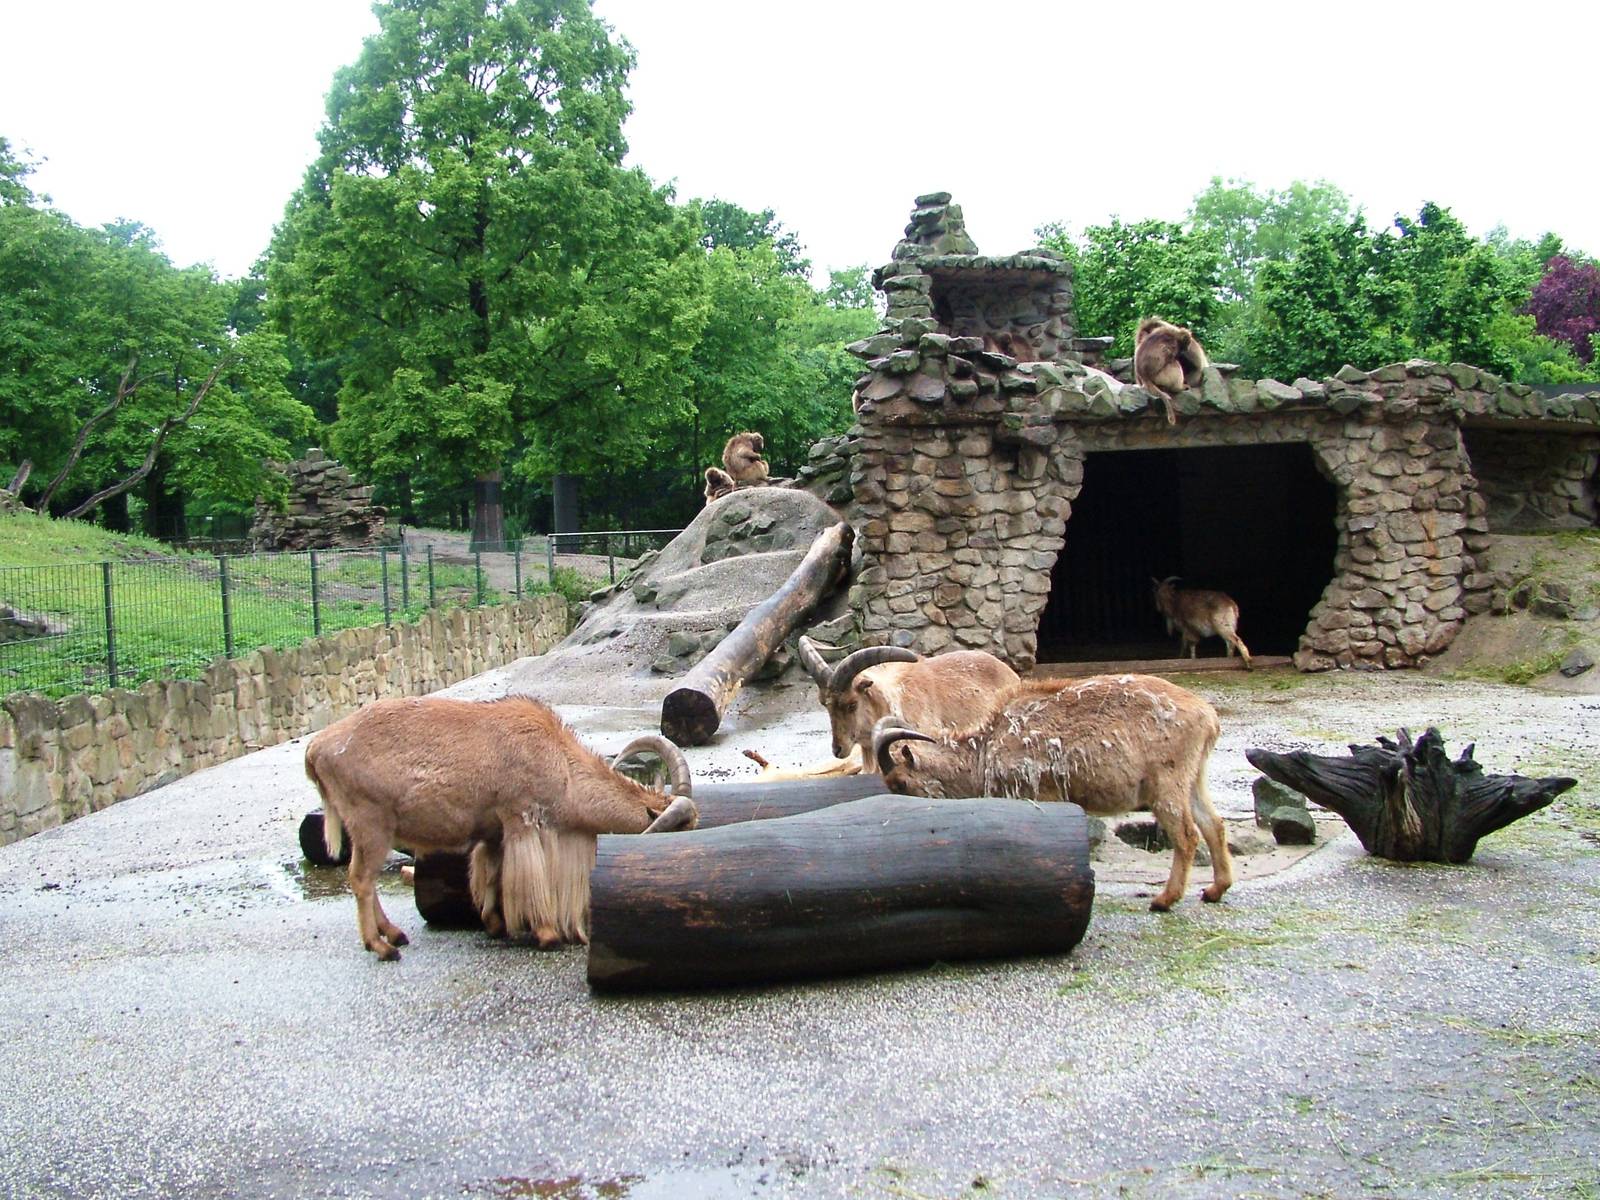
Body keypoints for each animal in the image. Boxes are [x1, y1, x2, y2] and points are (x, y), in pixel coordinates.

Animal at [303, 695, 697, 960]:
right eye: (679, 829)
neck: (561, 765)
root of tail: (316, 748)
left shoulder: (492, 833)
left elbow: (492, 874)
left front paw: (494, 924)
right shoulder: (520, 818)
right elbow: (525, 877)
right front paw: (546, 933)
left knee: (366, 881)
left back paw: (394, 934)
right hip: (371, 823)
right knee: (360, 879)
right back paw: (381, 946)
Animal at [872, 674, 1231, 911]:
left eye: (901, 783)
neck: (984, 751)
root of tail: (1208, 717)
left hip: (1167, 781)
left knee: (1187, 834)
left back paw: (1164, 900)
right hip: (1194, 777)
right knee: (1213, 824)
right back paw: (1215, 889)